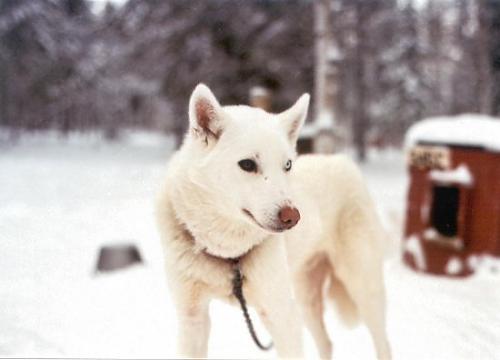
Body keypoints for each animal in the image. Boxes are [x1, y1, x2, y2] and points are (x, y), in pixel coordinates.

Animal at [156, 83, 390, 358]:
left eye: (287, 165)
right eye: (247, 164)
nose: (293, 217)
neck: (228, 253)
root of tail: (340, 160)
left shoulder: (281, 318)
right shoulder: (192, 318)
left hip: (362, 288)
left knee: (383, 343)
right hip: (304, 298)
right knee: (326, 343)